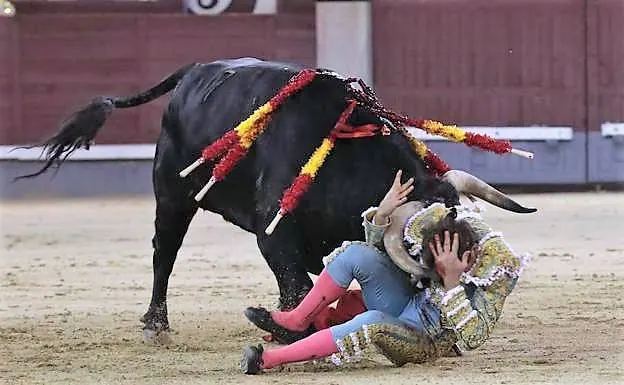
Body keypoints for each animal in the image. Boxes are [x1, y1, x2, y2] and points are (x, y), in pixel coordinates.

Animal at [18, 57, 536, 340]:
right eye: (420, 247)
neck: (344, 155)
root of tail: (193, 72)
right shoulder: (276, 234)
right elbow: (298, 287)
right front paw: (288, 328)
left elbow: (310, 283)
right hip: (171, 196)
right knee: (163, 253)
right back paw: (155, 323)